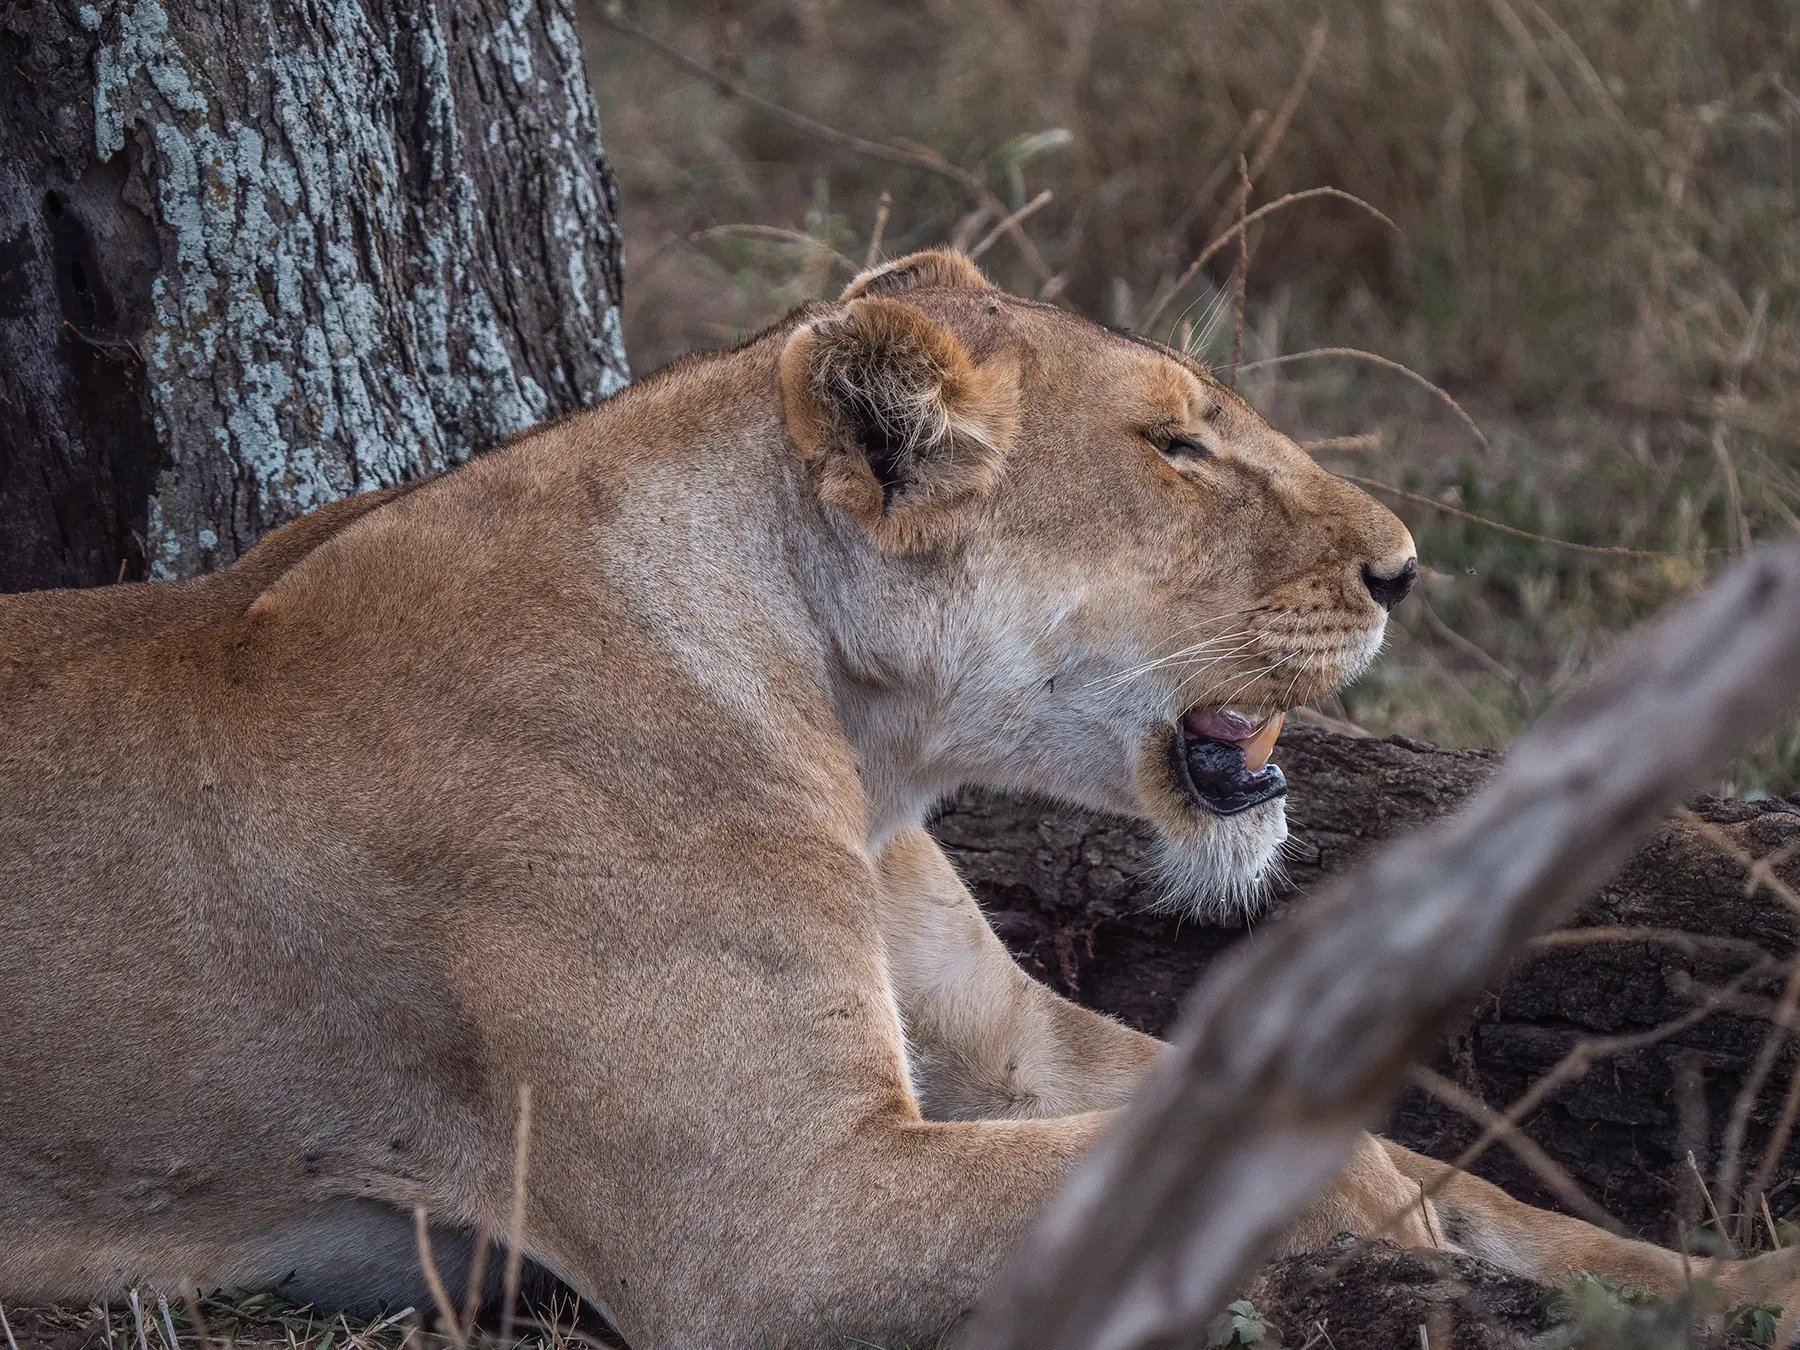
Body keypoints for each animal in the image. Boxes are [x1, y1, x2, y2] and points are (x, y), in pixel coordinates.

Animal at [1, 250, 1792, 1347]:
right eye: (1176, 447)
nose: (1407, 569)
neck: (864, 747)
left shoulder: (1012, 1042)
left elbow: (1451, 1174)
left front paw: (1731, 1278)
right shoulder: (779, 1221)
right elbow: (1302, 1170)